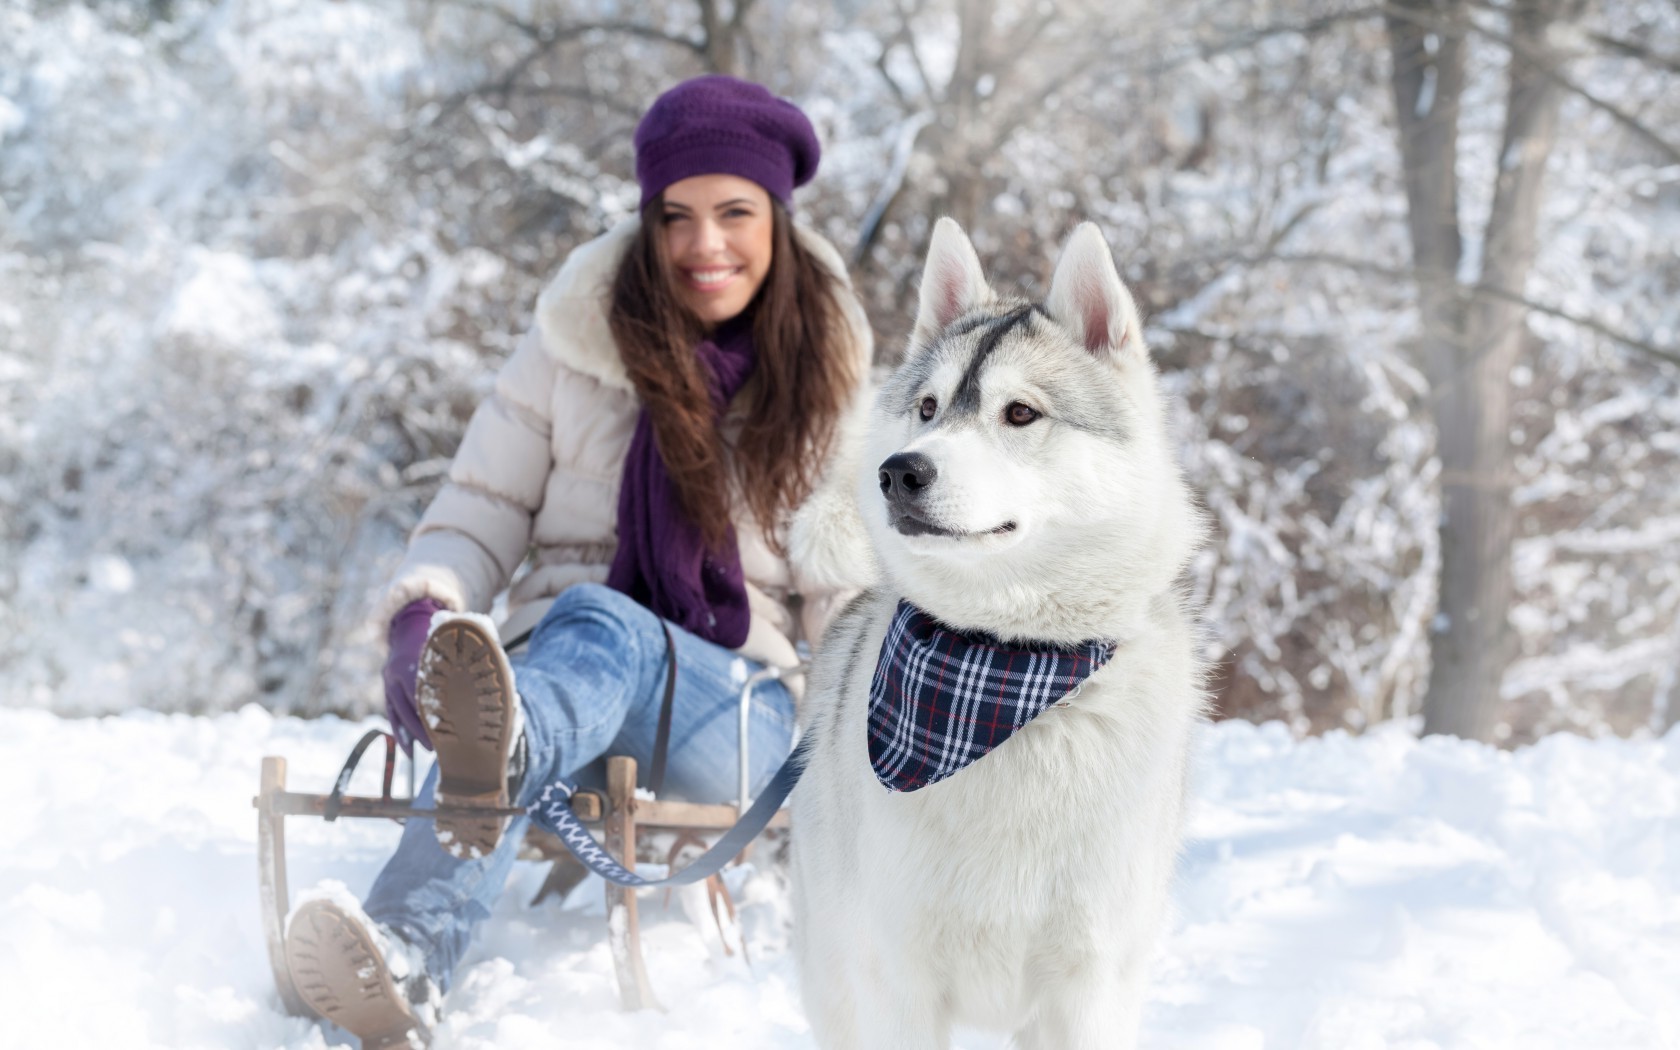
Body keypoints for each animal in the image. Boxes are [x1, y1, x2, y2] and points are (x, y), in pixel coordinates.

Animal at [789, 216, 1209, 1041]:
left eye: (1019, 413)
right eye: (927, 407)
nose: (899, 472)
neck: (1005, 665)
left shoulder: (1088, 987)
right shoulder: (900, 983)